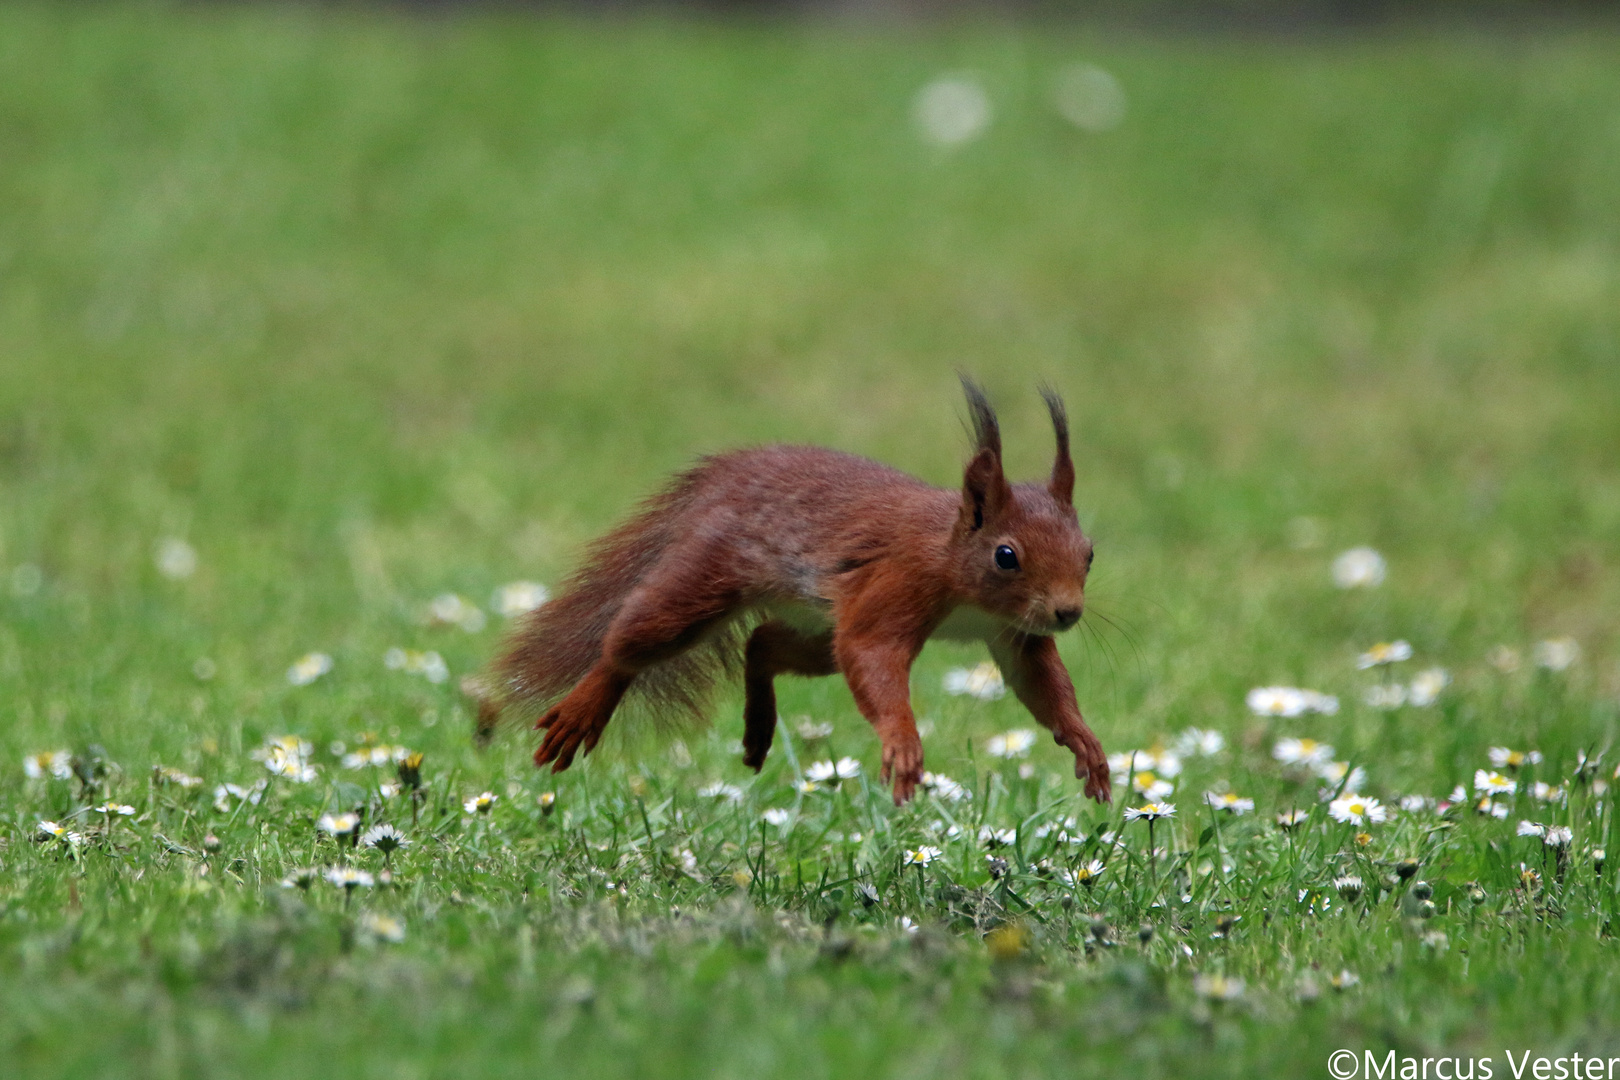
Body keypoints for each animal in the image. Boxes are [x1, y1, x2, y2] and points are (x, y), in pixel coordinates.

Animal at [473, 375, 1114, 806]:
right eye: (1007, 556)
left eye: (1088, 553)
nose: (1067, 612)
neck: (953, 563)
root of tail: (723, 479)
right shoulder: (898, 583)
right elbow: (872, 654)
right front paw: (903, 745)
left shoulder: (1014, 633)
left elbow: (1040, 682)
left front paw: (1085, 744)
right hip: (704, 582)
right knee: (631, 644)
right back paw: (586, 706)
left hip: (814, 629)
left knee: (762, 643)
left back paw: (758, 727)